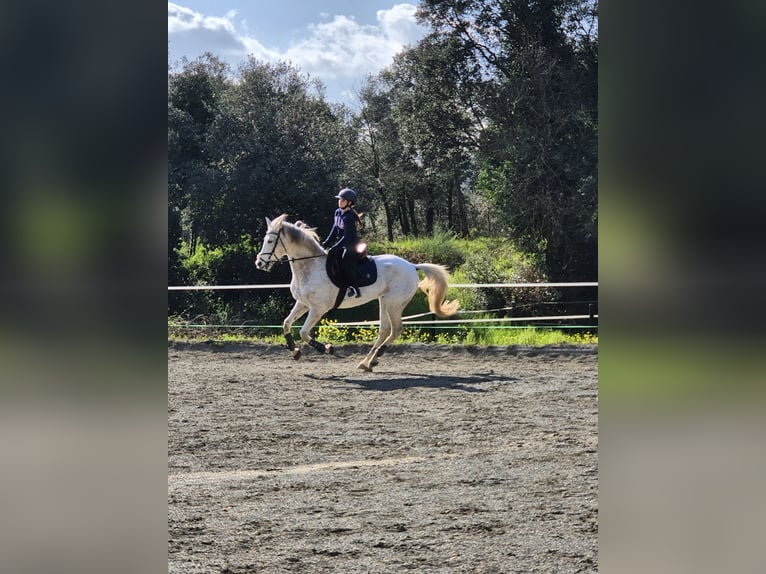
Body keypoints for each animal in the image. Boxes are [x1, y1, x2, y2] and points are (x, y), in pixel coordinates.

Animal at [254, 214, 459, 371]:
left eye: (271, 241)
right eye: (265, 240)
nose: (259, 263)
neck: (309, 266)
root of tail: (412, 265)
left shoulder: (318, 308)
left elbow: (304, 332)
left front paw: (326, 348)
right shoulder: (303, 303)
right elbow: (286, 324)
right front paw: (294, 351)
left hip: (394, 303)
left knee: (396, 329)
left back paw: (374, 357)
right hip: (384, 301)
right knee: (385, 330)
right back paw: (368, 362)